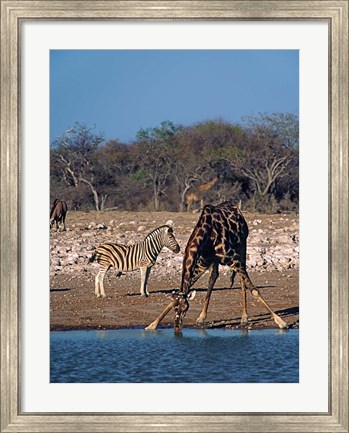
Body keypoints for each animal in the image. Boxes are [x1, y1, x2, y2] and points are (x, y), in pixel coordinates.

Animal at [145, 201, 288, 332]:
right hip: (214, 261)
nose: (177, 328)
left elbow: (254, 290)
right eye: (175, 308)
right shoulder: (203, 263)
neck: (206, 233)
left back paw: (244, 318)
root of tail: (235, 207)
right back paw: (202, 317)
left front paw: (281, 322)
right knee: (213, 277)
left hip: (242, 247)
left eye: (186, 308)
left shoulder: (233, 260)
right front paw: (152, 325)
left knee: (242, 281)